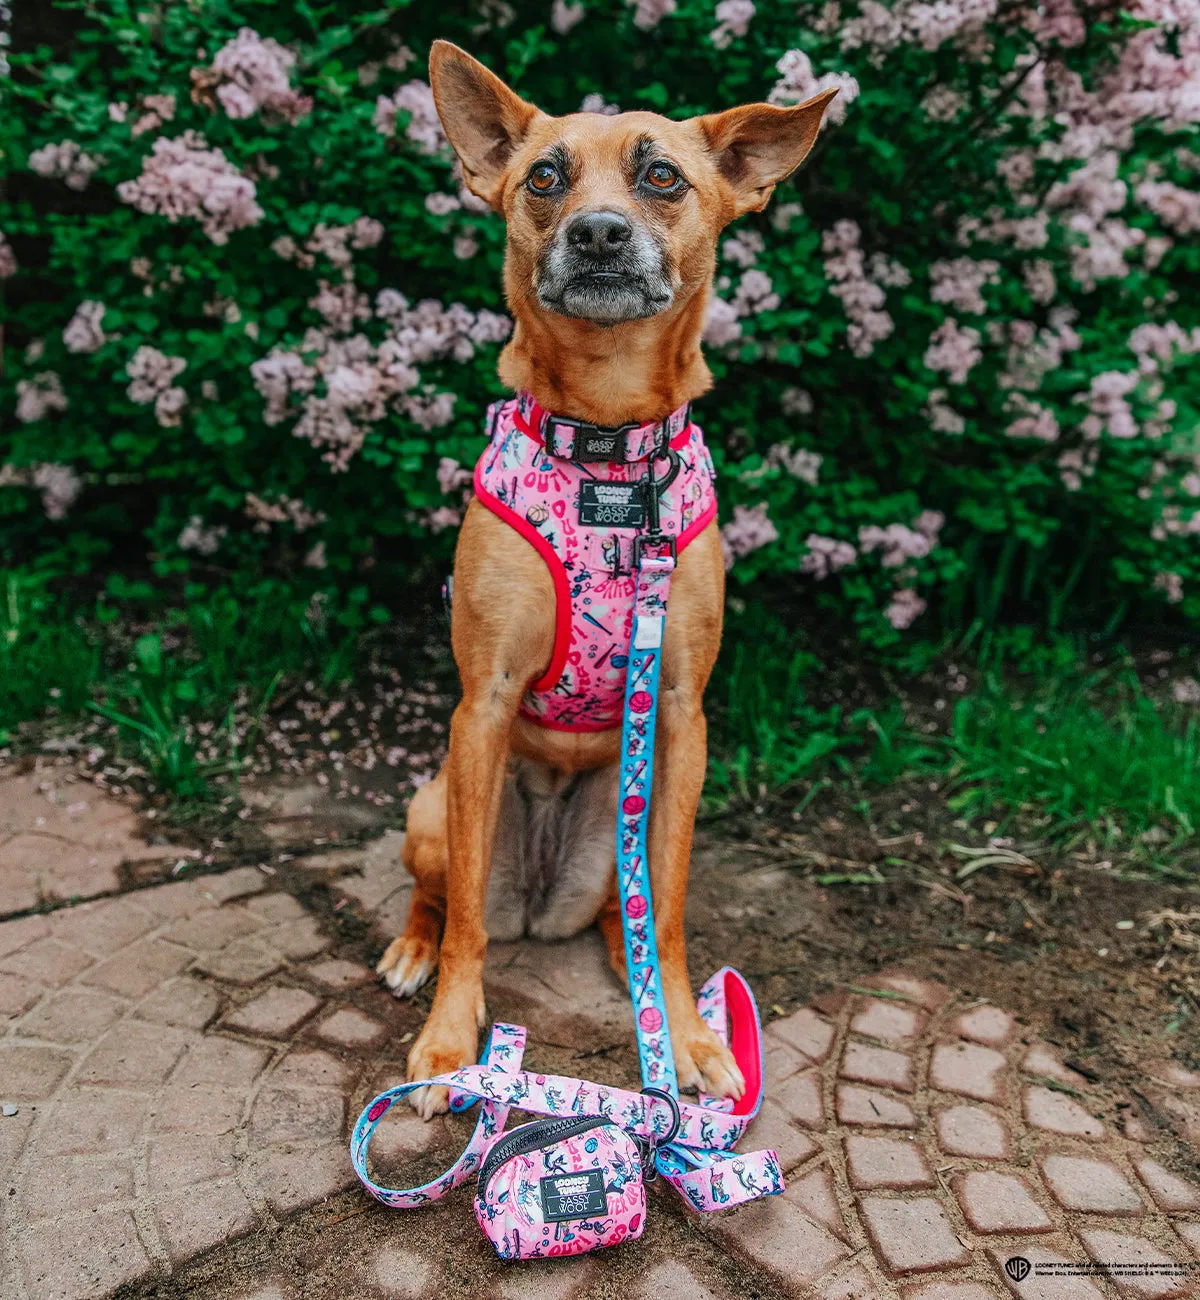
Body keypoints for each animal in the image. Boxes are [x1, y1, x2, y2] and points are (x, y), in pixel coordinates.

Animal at [377, 43, 837, 1118]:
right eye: (544, 176)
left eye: (661, 175)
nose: (596, 232)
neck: (611, 452)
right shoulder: (483, 704)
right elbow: (467, 926)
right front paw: (449, 1041)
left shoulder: (679, 715)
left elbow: (663, 907)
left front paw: (684, 1034)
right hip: (432, 807)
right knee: (444, 893)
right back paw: (413, 949)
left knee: (620, 904)